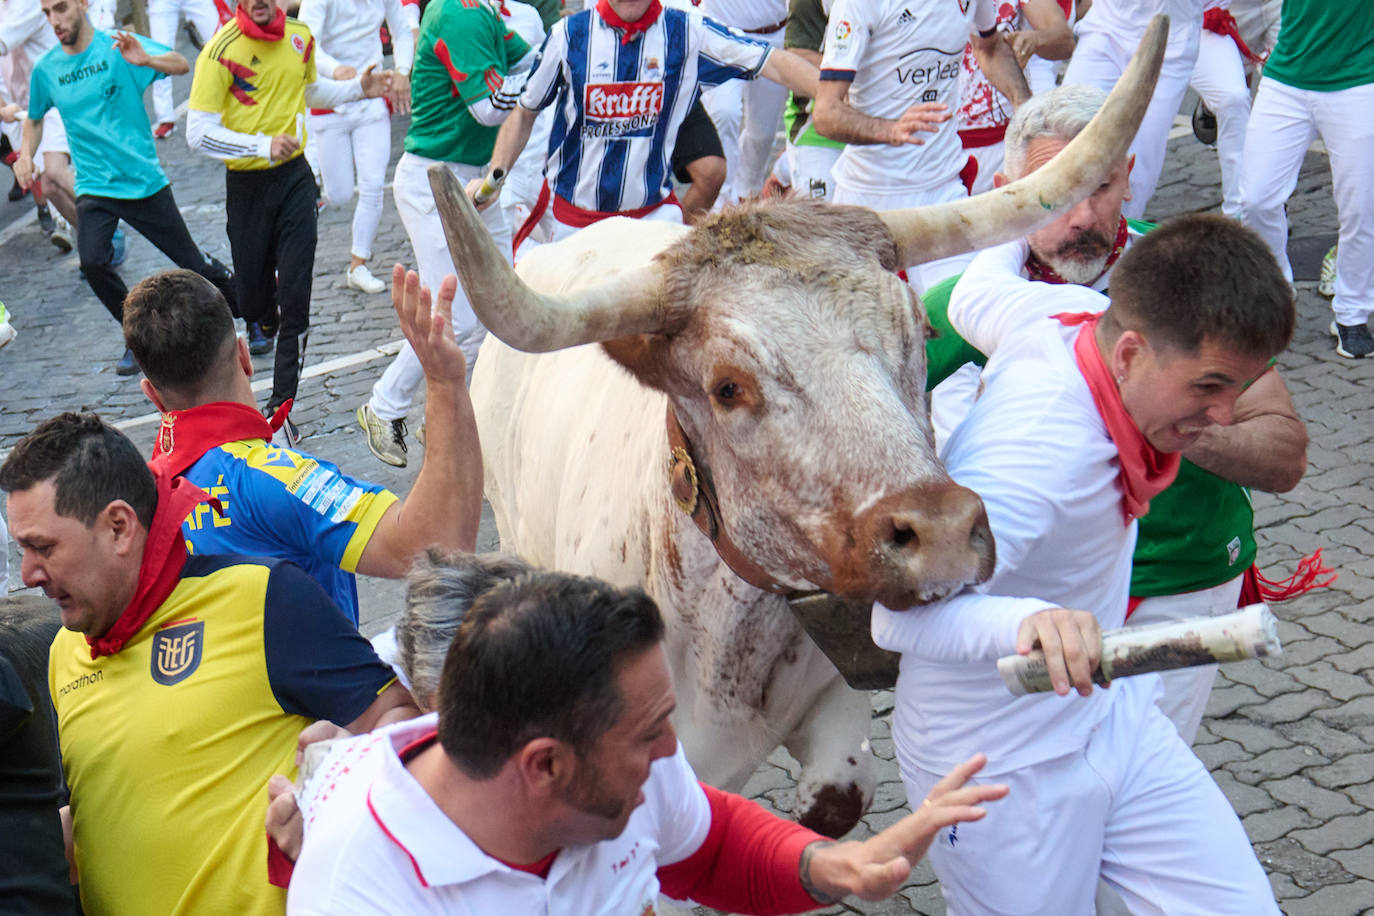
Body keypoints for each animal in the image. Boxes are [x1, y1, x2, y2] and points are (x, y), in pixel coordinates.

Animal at [434, 21, 1165, 840]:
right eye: (727, 386)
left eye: (918, 329)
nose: (942, 533)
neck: (731, 642)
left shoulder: (838, 699)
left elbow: (835, 803)